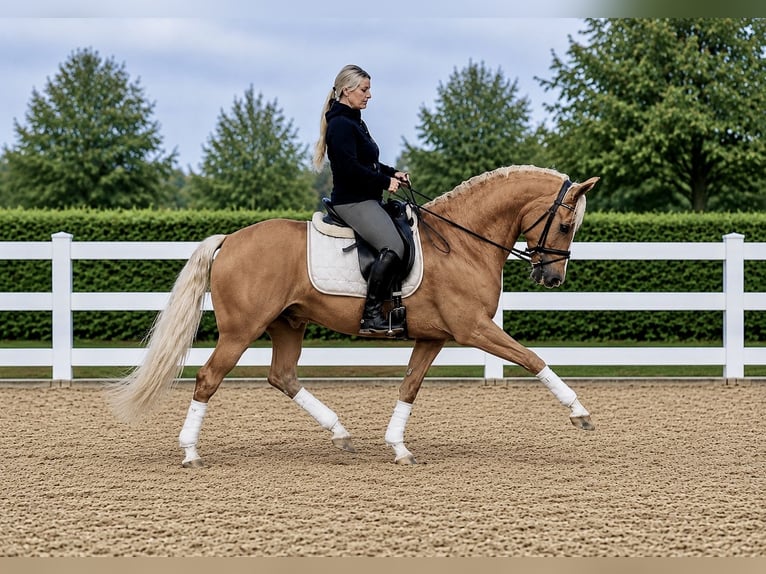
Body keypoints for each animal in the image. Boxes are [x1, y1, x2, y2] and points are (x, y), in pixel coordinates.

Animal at [108, 165, 600, 467]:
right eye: (564, 224)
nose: (552, 277)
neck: (462, 242)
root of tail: (229, 239)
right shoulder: (474, 328)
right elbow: (533, 358)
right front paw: (580, 413)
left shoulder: (434, 337)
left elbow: (410, 386)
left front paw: (398, 447)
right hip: (241, 330)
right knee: (209, 378)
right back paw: (191, 452)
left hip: (288, 324)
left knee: (282, 376)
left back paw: (340, 433)